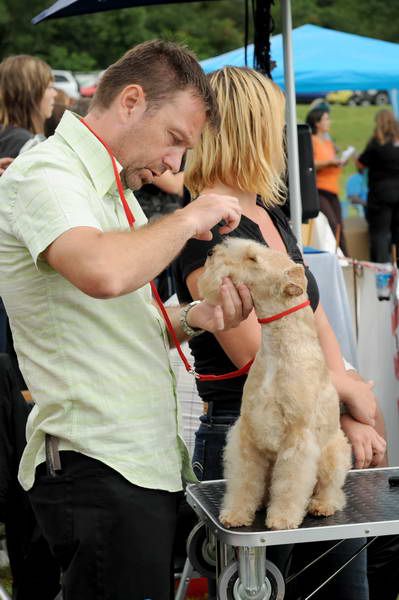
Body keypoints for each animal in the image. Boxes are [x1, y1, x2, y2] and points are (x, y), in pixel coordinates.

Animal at [198, 239, 352, 528]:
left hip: (335, 451)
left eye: (253, 259)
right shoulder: (247, 432)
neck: (277, 348)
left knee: (331, 489)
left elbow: (290, 484)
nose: (210, 252)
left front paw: (282, 518)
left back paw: (321, 505)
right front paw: (236, 513)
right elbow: (245, 481)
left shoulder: (297, 436)